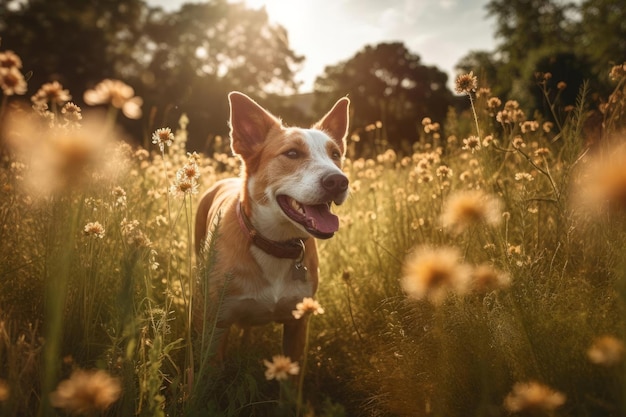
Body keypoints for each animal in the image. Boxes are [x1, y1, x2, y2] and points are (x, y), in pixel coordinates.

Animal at [194, 92, 348, 360]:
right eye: (292, 154)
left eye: (336, 154)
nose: (339, 181)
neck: (275, 242)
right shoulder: (217, 324)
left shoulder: (298, 324)